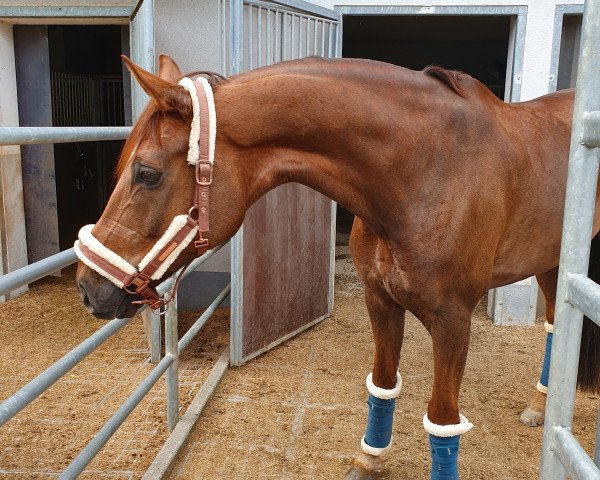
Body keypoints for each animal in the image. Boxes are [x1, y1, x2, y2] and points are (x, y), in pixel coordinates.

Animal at [77, 54, 600, 478]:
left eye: (147, 173)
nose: (87, 288)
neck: (429, 170)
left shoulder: (453, 320)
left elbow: (442, 421)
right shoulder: (380, 300)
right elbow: (383, 386)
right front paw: (370, 459)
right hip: (553, 259)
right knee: (555, 325)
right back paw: (540, 406)